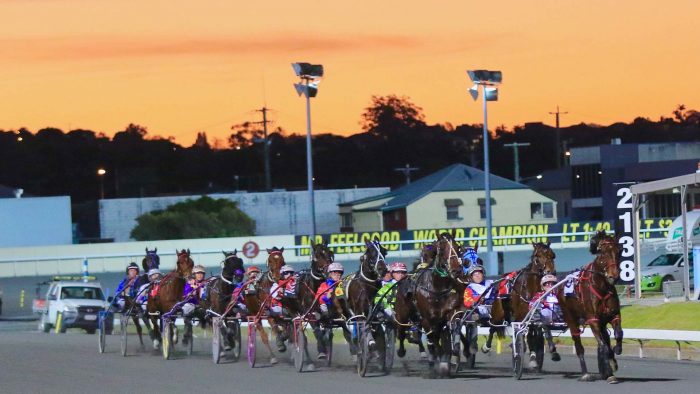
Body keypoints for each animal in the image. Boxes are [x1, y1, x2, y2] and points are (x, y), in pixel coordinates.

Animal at [410, 232, 464, 378]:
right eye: (442, 249)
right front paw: (439, 365)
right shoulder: (427, 319)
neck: (437, 288)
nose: (457, 270)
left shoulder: (449, 312)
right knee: (432, 340)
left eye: (457, 247)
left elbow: (453, 325)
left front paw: (453, 356)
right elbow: (433, 341)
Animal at [484, 240, 556, 370]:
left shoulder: (534, 315)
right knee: (493, 327)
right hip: (498, 312)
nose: (551, 272)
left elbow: (534, 332)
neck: (530, 287)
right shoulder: (520, 316)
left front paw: (535, 356)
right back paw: (486, 347)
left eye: (552, 255)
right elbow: (521, 334)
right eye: (537, 256)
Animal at [556, 229, 624, 384]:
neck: (602, 286)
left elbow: (617, 334)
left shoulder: (613, 315)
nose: (614, 276)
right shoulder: (593, 320)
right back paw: (585, 373)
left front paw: (616, 352)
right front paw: (609, 369)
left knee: (606, 336)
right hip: (571, 319)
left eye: (619, 251)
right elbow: (603, 345)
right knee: (579, 345)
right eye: (603, 252)